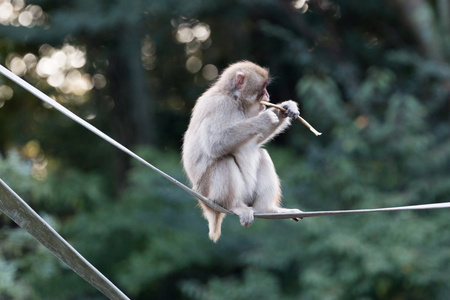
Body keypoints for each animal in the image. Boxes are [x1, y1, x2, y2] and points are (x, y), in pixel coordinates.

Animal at [182, 61, 302, 241]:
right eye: (263, 88)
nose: (268, 96)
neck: (235, 100)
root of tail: (208, 207)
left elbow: (257, 140)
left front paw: (285, 108)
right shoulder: (219, 105)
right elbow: (214, 143)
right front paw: (264, 118)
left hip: (248, 194)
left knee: (262, 155)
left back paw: (267, 210)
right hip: (209, 194)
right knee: (224, 160)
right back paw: (235, 206)